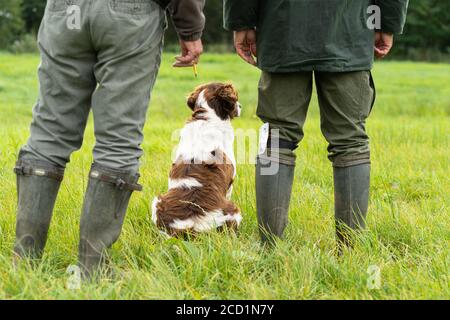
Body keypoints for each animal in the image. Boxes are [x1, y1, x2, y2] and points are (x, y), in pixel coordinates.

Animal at [151, 82, 243, 238]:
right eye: (236, 99)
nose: (240, 106)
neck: (207, 117)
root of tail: (191, 226)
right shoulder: (230, 180)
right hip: (233, 212)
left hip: (157, 203)